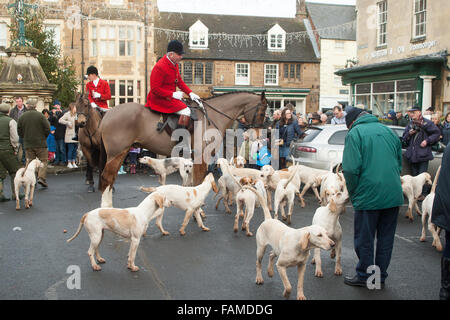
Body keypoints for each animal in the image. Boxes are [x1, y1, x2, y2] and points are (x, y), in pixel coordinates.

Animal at [97, 91, 268, 209]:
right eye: (262, 111)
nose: (258, 135)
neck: (212, 116)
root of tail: (108, 113)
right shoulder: (202, 155)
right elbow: (198, 182)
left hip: (120, 153)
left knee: (110, 178)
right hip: (117, 153)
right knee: (107, 177)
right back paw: (106, 207)